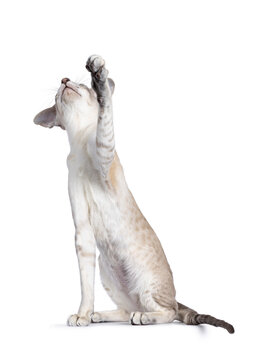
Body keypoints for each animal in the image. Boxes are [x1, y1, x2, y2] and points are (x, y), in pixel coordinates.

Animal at [33, 54, 234, 334]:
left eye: (80, 86)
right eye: (58, 94)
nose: (64, 80)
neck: (79, 145)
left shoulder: (105, 149)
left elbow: (105, 112)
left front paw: (99, 77)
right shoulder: (82, 231)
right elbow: (85, 286)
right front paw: (82, 315)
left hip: (146, 283)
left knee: (168, 312)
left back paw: (142, 318)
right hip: (107, 271)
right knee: (130, 308)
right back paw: (98, 314)